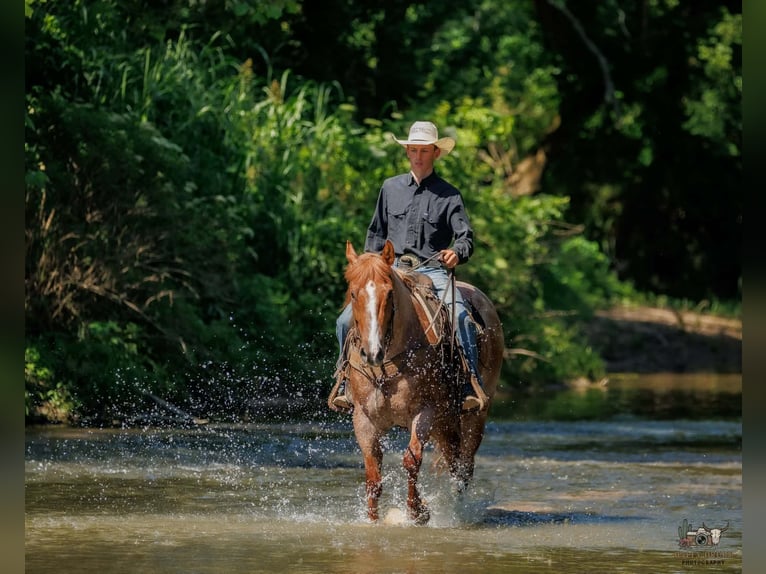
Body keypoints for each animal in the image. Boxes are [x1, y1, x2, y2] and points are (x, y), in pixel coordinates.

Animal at [333, 239, 504, 524]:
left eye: (389, 293)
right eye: (354, 294)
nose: (372, 353)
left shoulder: (425, 412)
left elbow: (411, 460)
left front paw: (419, 512)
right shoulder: (363, 419)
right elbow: (373, 478)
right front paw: (373, 521)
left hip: (473, 416)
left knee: (463, 469)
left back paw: (455, 512)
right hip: (446, 422)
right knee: (453, 460)